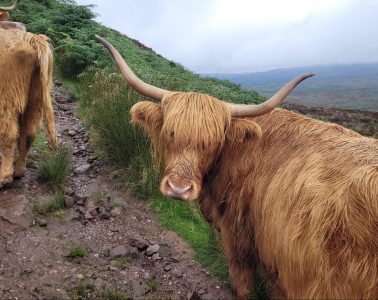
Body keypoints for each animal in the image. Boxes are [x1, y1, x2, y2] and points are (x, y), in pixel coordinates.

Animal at [0, 28, 57, 188]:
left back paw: (4, 177)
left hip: (7, 95)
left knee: (9, 134)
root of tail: (31, 37)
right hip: (36, 96)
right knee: (29, 133)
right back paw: (18, 171)